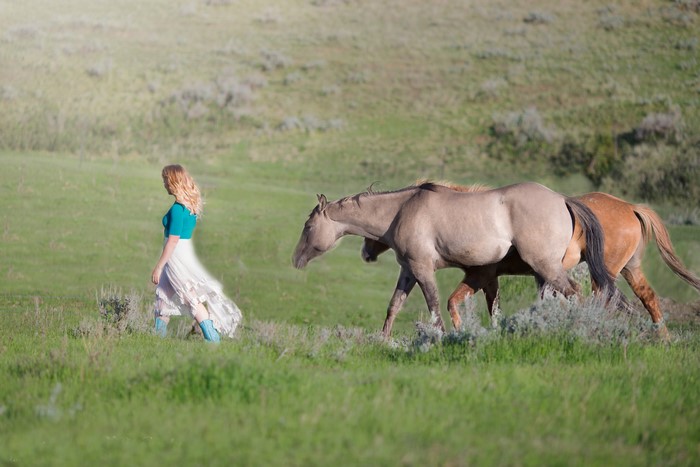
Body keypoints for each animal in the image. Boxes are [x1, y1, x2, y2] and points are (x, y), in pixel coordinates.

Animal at [293, 182, 617, 337]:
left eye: (308, 227)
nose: (296, 260)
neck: (402, 210)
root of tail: (563, 199)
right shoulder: (409, 270)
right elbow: (394, 306)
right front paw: (383, 340)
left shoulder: (423, 269)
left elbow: (435, 306)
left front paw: (441, 338)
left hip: (546, 267)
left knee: (576, 294)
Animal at [362, 187, 700, 337]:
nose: (366, 252)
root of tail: (630, 206)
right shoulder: (490, 277)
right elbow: (491, 307)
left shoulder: (482, 274)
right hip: (629, 269)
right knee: (648, 298)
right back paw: (662, 339)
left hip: (603, 273)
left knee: (603, 301)